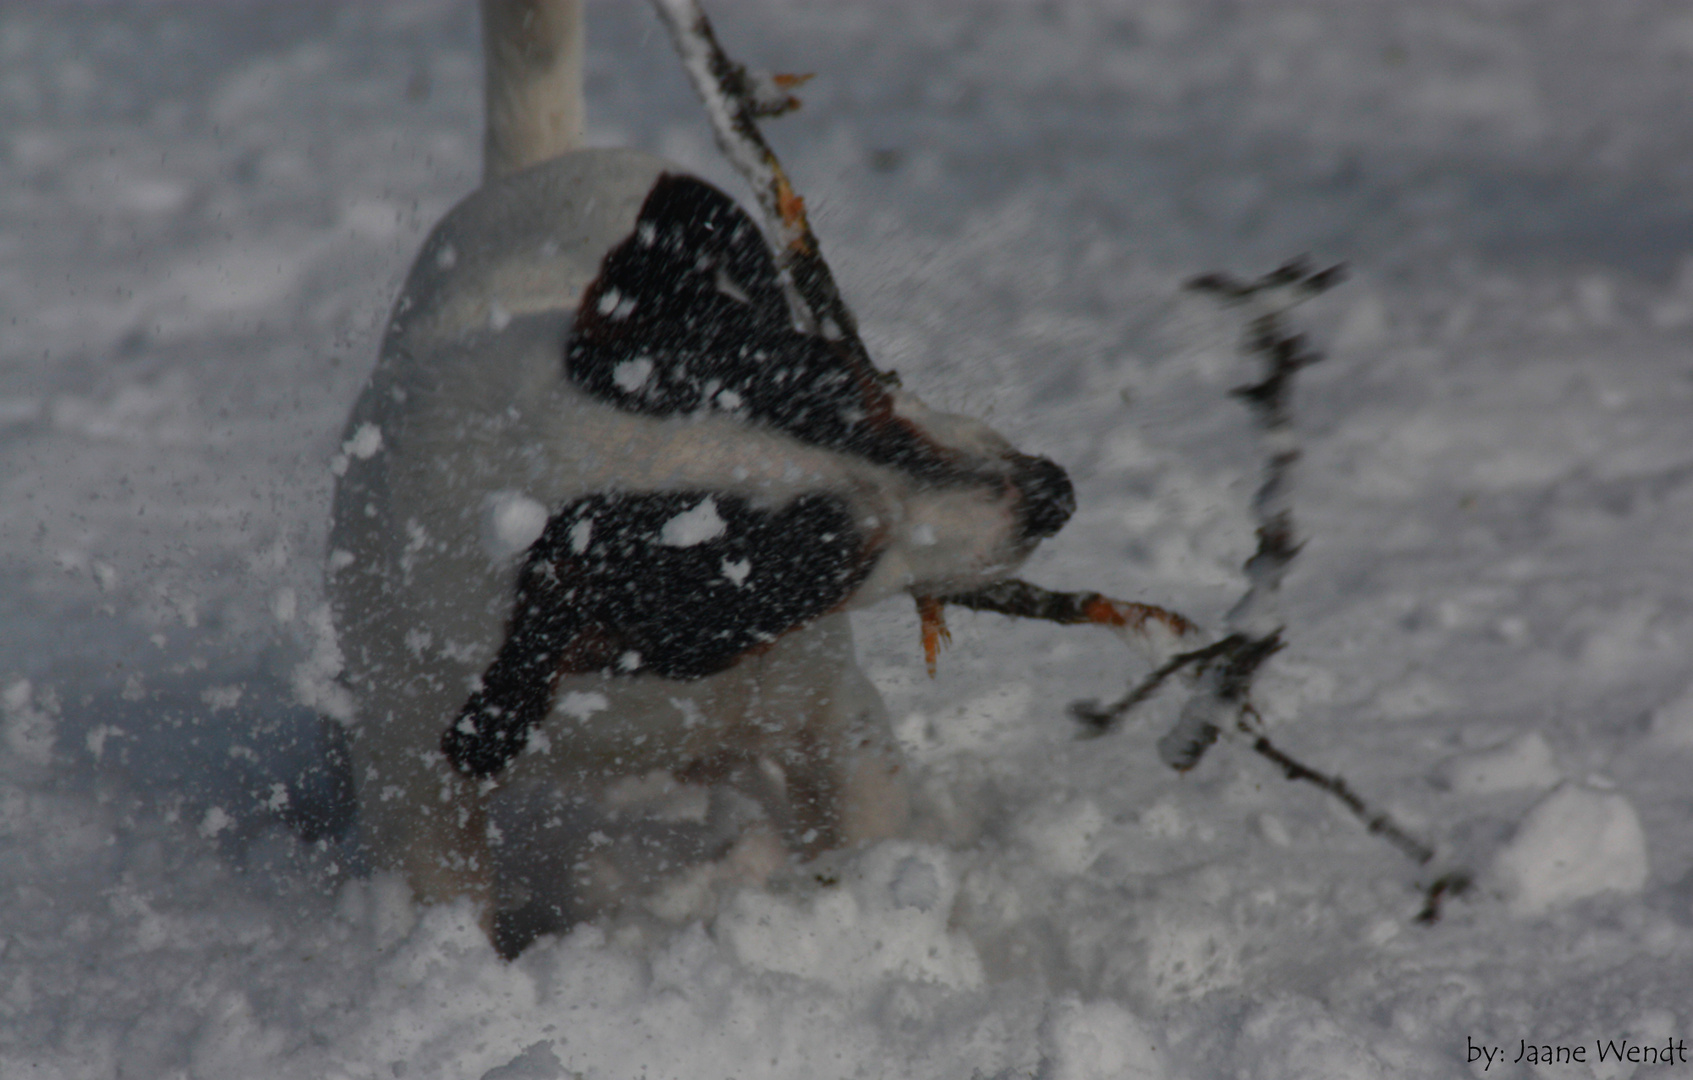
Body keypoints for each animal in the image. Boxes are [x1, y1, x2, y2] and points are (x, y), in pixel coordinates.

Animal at [319, 2, 1069, 961]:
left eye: (858, 388)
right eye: (836, 562)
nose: (1051, 491)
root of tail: (532, 168)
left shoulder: (827, 708)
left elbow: (860, 816)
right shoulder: (415, 769)